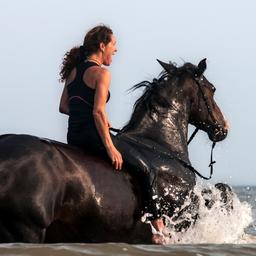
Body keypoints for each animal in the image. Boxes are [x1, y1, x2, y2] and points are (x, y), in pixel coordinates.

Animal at [0, 59, 228, 243]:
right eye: (213, 88)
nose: (223, 128)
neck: (161, 146)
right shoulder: (185, 211)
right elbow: (219, 192)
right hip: (27, 229)